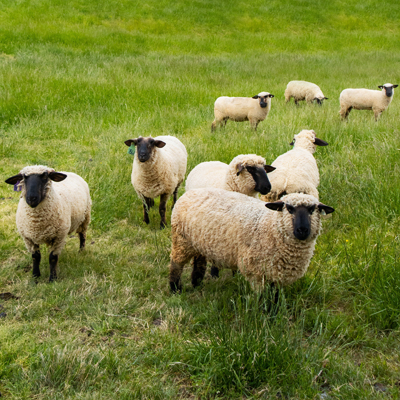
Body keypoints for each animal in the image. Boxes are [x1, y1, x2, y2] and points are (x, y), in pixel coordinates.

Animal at [168, 189, 334, 292]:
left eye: (312, 209)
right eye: (289, 209)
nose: (302, 230)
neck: (270, 225)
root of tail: (190, 192)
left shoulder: (276, 273)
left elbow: (274, 297)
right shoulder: (256, 272)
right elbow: (263, 299)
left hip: (199, 243)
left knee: (199, 262)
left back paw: (197, 283)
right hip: (181, 240)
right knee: (176, 264)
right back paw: (175, 289)